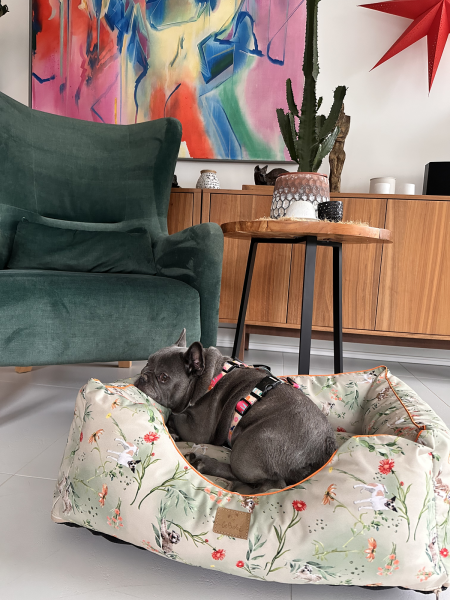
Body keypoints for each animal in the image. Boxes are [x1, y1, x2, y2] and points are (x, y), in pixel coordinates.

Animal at [135, 329, 336, 492]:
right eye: (146, 364)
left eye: (163, 377)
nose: (143, 376)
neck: (206, 377)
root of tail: (323, 446)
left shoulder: (198, 431)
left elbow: (175, 415)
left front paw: (173, 428)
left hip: (248, 446)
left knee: (270, 484)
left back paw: (205, 464)